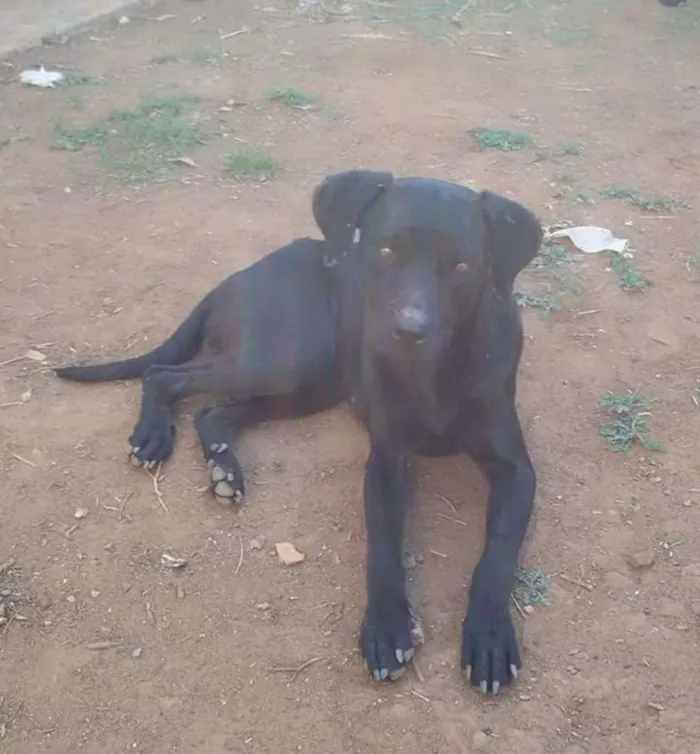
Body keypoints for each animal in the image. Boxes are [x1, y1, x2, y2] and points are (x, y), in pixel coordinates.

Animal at [57, 170, 544, 692]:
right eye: (385, 252)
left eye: (461, 265)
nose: (407, 332)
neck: (433, 372)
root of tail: (239, 275)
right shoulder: (387, 462)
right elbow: (383, 550)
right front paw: (386, 628)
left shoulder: (516, 471)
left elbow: (496, 554)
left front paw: (489, 637)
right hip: (293, 356)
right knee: (163, 374)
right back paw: (153, 436)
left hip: (313, 380)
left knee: (212, 413)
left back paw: (224, 469)